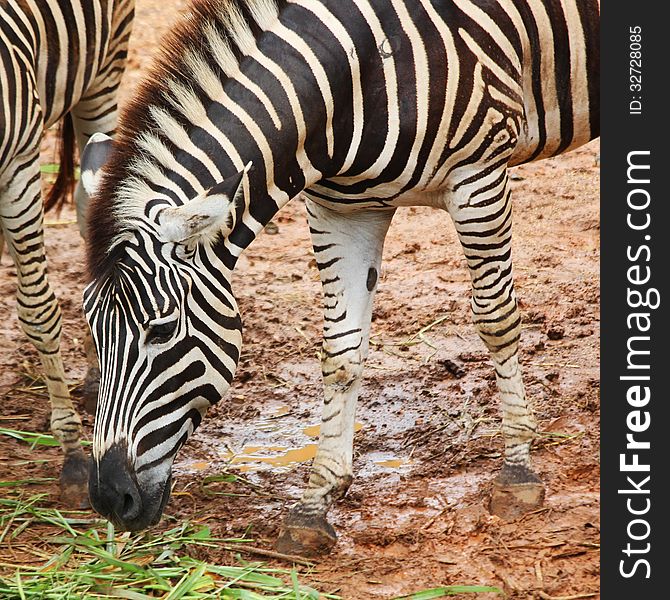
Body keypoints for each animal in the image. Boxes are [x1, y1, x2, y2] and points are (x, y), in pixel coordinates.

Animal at [81, 0, 600, 556]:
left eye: (160, 330)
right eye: (91, 331)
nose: (109, 499)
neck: (358, 70)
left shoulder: (477, 177)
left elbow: (496, 320)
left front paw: (517, 472)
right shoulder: (342, 210)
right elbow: (341, 353)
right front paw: (315, 504)